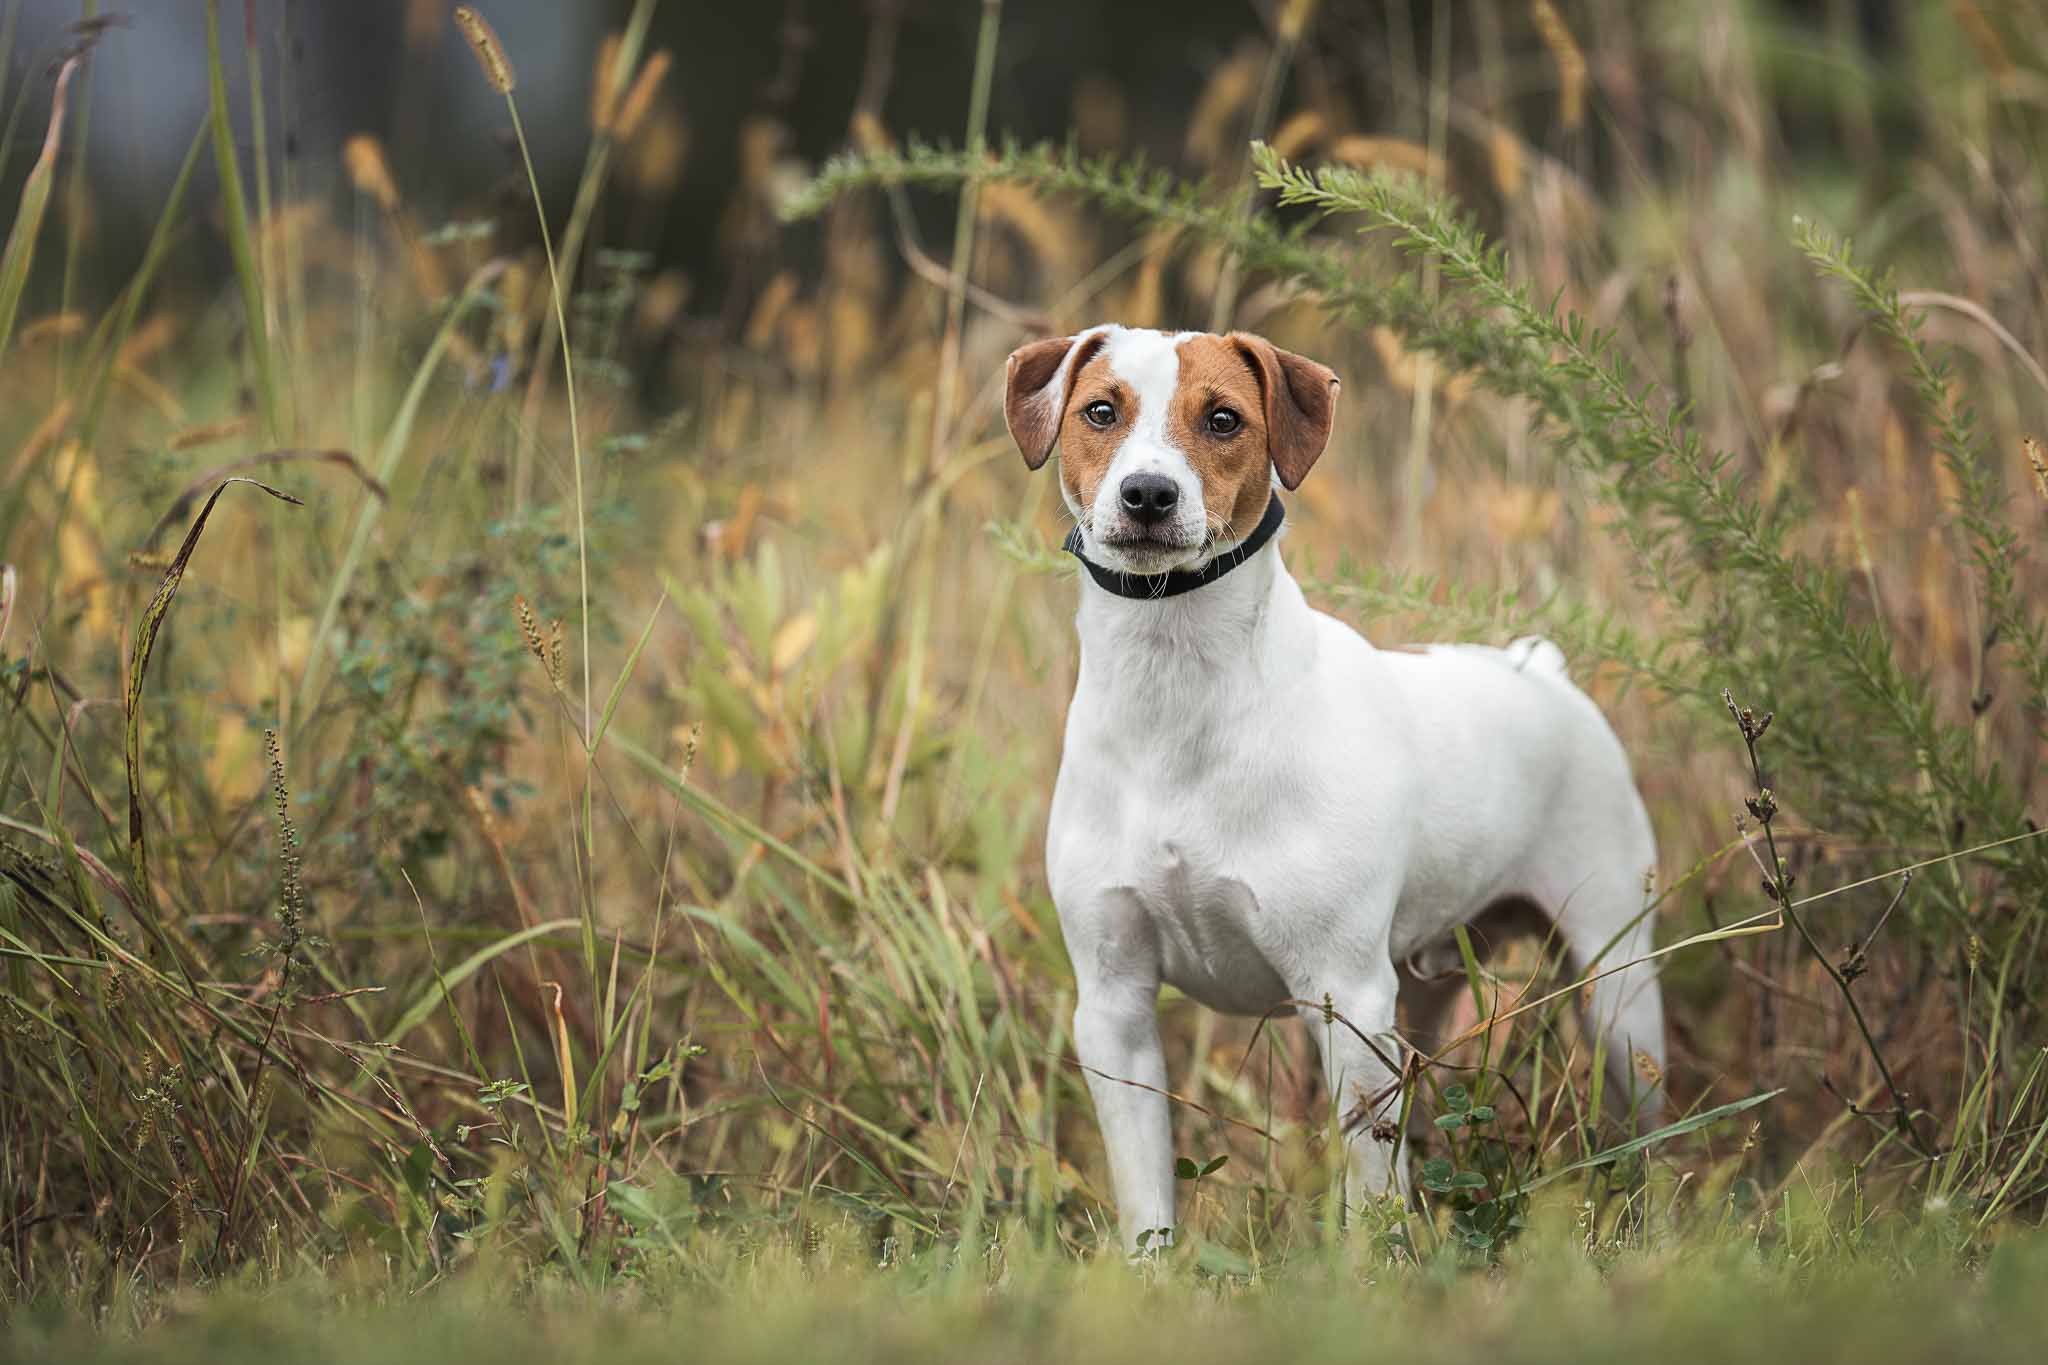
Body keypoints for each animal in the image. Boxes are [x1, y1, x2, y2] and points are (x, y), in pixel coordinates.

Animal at [1007, 325, 1662, 1252]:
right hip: (1420, 990)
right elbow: (1146, 1193)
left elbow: (1371, 1183)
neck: (1178, 696)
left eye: (1223, 418)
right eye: (1101, 410)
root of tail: (1543, 670)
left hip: (1616, 988)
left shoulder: (1342, 994)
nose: (1147, 493)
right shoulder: (1112, 1003)